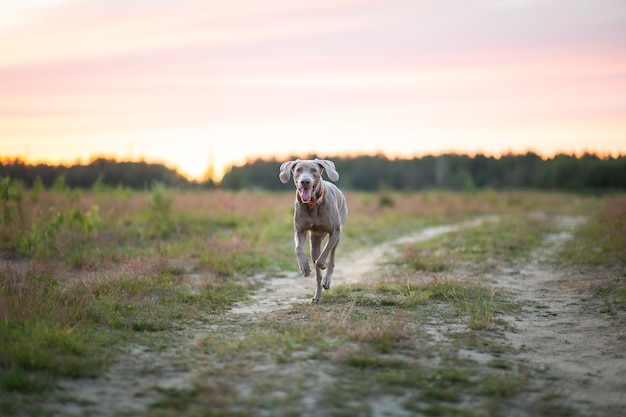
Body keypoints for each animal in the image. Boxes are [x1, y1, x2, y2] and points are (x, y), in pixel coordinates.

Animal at [278, 158, 346, 302]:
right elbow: (298, 249)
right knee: (317, 271)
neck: (313, 204)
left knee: (331, 256)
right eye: (298, 170)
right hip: (314, 241)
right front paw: (304, 268)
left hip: (338, 234)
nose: (305, 181)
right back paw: (317, 296)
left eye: (314, 170)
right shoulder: (300, 232)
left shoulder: (335, 232)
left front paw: (323, 264)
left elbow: (322, 258)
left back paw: (327, 280)